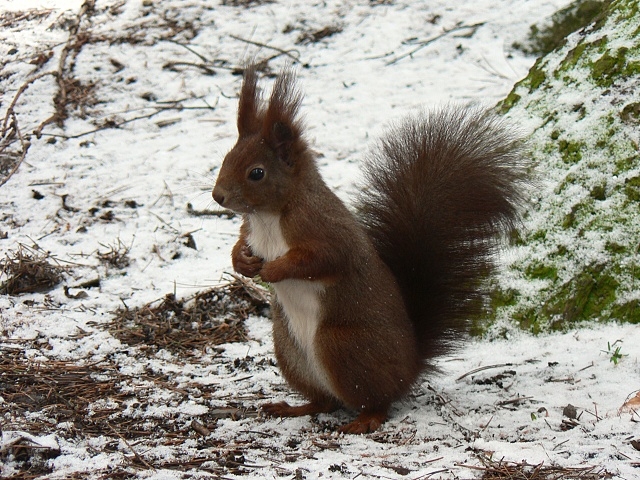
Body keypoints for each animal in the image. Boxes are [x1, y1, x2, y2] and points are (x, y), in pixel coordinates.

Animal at [212, 65, 528, 434]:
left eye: (256, 173)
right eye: (226, 158)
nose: (218, 196)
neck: (268, 216)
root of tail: (410, 368)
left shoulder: (325, 229)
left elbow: (324, 258)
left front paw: (274, 269)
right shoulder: (251, 230)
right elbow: (240, 243)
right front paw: (242, 261)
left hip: (341, 344)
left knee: (379, 401)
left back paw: (363, 421)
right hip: (289, 350)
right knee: (324, 401)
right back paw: (293, 408)